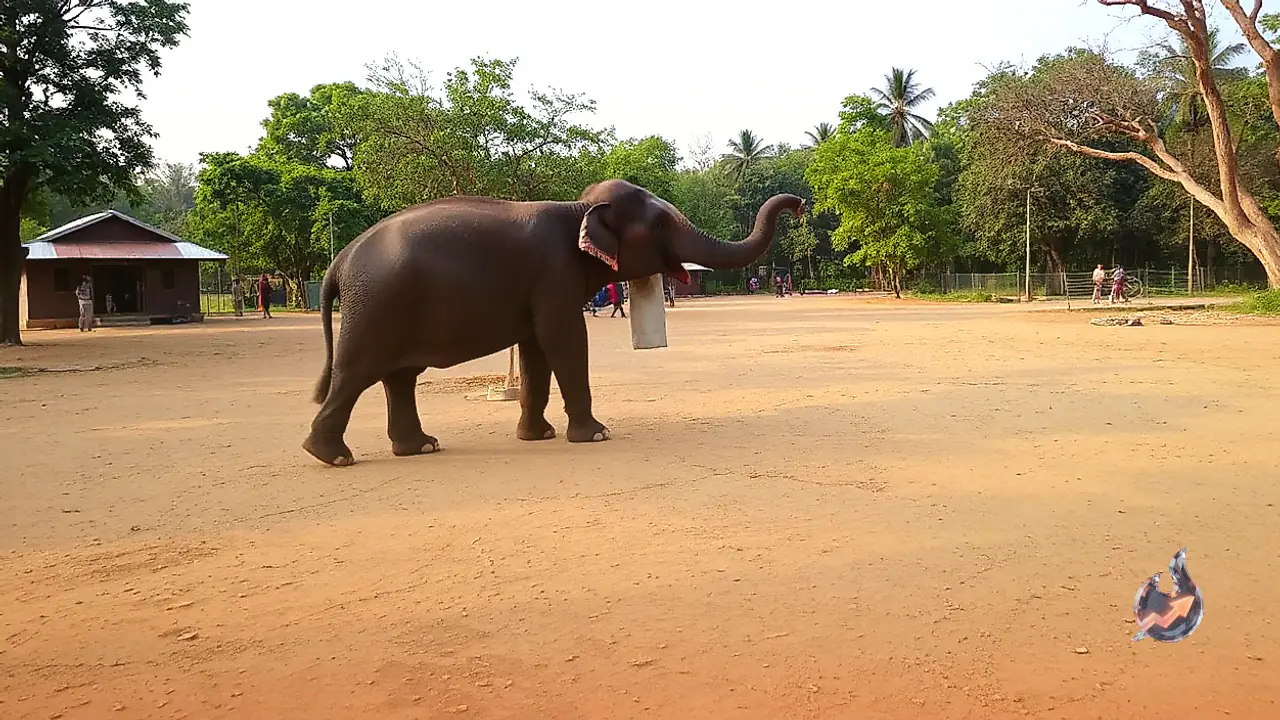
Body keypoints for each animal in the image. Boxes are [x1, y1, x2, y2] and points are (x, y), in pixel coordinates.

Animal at [303, 179, 805, 467]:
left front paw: (537, 436)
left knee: (400, 376)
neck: (576, 210)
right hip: (376, 306)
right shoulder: (554, 273)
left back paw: (421, 447)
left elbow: (536, 351)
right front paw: (596, 435)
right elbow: (563, 340)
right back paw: (333, 457)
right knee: (357, 372)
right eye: (661, 224)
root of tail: (339, 260)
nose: (800, 203)